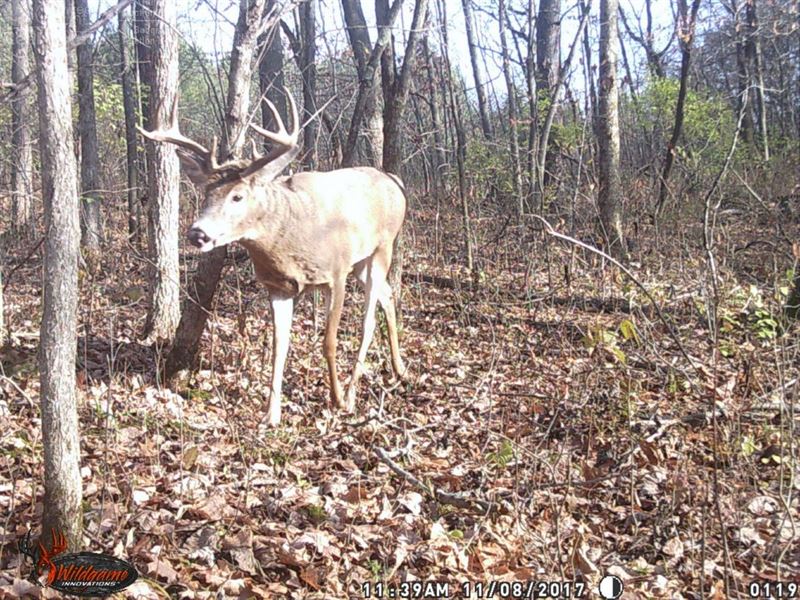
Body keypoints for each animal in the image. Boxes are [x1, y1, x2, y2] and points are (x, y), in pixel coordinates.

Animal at [139, 91, 406, 427]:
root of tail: (396, 182)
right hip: (362, 263)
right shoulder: (278, 286)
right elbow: (280, 346)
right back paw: (400, 369)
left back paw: (351, 394)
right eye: (206, 194)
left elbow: (329, 342)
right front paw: (271, 414)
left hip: (382, 247)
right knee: (388, 294)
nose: (197, 234)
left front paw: (335, 401)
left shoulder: (336, 273)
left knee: (368, 319)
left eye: (237, 196)